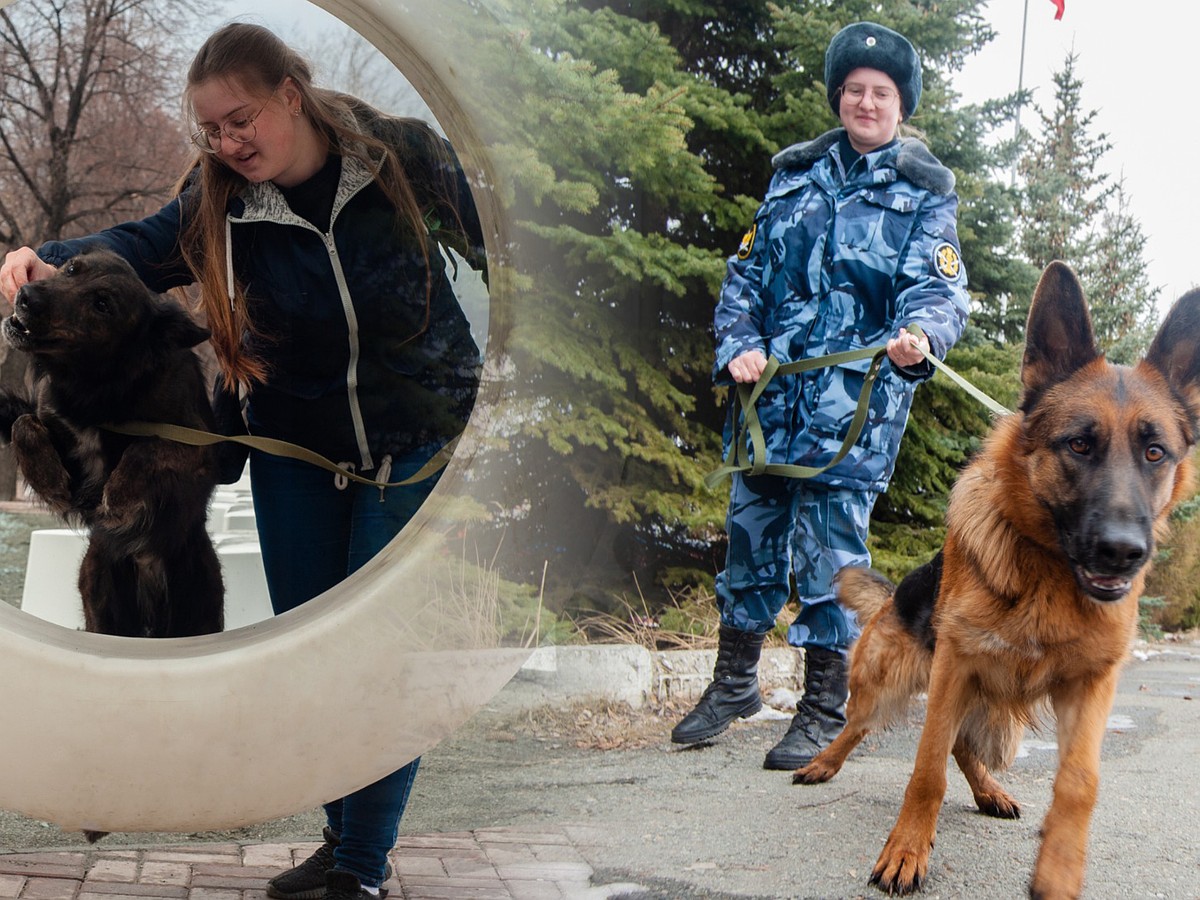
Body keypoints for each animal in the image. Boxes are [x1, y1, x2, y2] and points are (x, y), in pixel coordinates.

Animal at [0, 250, 224, 638]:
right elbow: (23, 423)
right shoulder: (66, 448)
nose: (26, 295)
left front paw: (119, 495)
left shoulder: (201, 449)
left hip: (199, 609)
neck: (99, 385)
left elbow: (147, 446)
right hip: (102, 600)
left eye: (103, 304)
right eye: (71, 269)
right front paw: (48, 479)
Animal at [792, 259, 1200, 897]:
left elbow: (1079, 781)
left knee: (965, 747)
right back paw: (822, 762)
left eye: (1155, 452)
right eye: (1078, 444)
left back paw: (988, 791)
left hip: (997, 718)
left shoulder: (1090, 685)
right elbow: (926, 769)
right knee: (862, 726)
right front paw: (906, 851)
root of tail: (893, 597)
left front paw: (1059, 869)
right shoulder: (954, 667)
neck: (1048, 575)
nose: (1122, 553)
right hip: (891, 684)